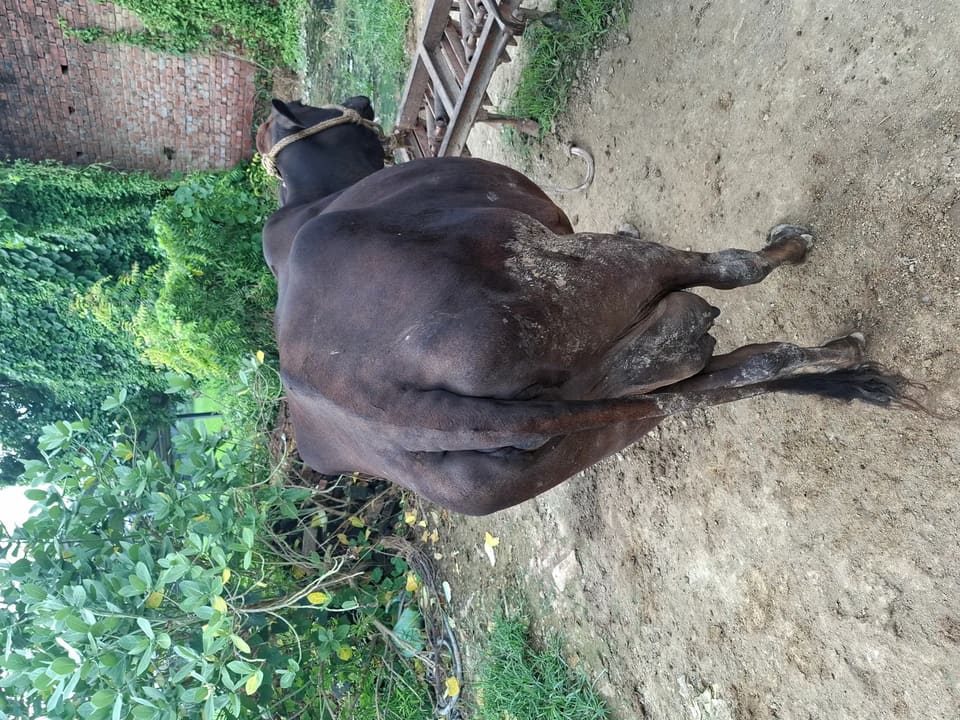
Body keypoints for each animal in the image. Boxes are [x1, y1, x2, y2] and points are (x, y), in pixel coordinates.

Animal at [257, 97, 917, 516]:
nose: (361, 100)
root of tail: (392, 409)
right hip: (612, 269)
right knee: (739, 297)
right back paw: (828, 324)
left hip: (608, 424)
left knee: (728, 378)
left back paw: (845, 373)